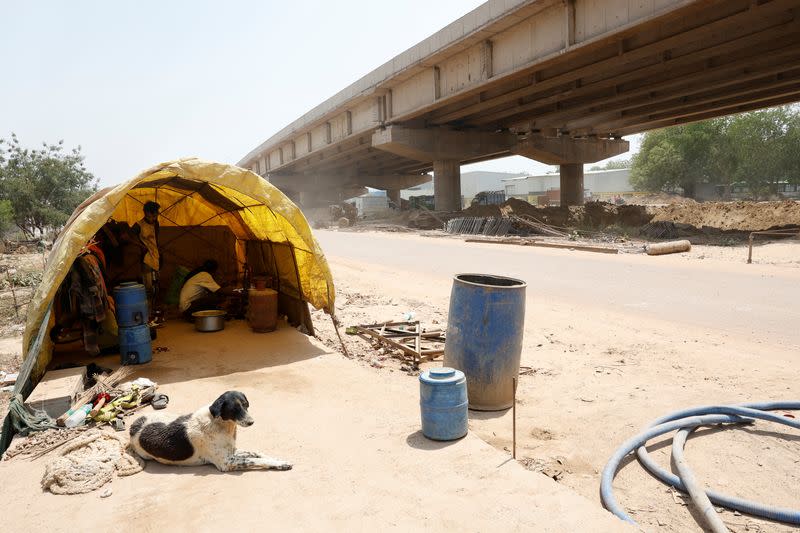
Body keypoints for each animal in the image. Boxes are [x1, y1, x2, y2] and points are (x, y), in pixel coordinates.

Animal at [130, 390, 292, 470]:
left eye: (246, 405)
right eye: (234, 409)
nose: (251, 422)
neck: (222, 426)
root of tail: (133, 426)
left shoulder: (232, 451)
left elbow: (257, 453)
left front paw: (277, 459)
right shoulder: (227, 463)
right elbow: (255, 460)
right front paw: (280, 464)